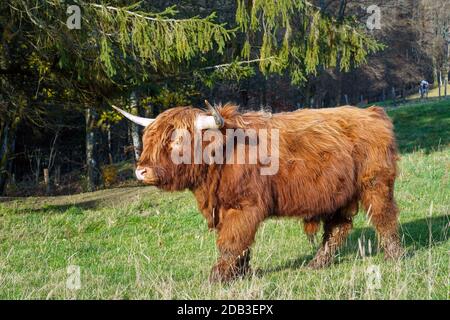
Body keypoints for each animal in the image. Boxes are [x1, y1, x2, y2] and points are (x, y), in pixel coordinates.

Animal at [113, 102, 404, 282]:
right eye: (150, 138)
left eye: (177, 140)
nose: (141, 171)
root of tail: (372, 112)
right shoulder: (224, 207)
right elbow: (238, 244)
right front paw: (239, 274)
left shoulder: (244, 206)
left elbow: (232, 242)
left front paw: (217, 277)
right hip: (339, 195)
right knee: (337, 229)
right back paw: (317, 264)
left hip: (375, 183)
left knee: (384, 217)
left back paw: (394, 256)